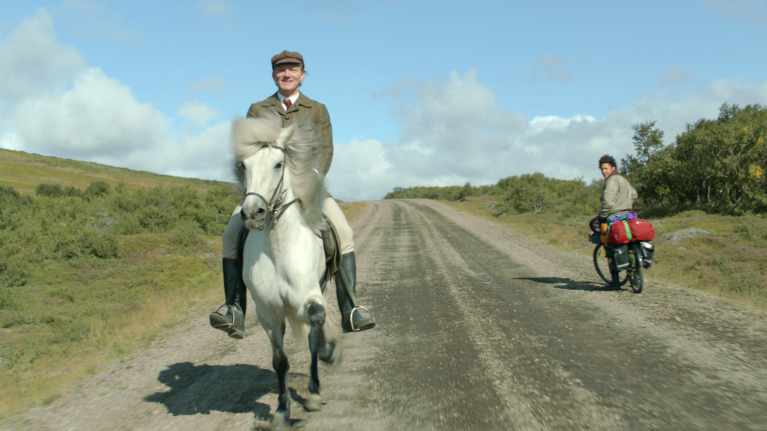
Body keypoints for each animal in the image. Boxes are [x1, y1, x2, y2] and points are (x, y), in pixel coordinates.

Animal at [231, 115, 339, 429]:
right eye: (243, 166)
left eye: (279, 164)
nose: (253, 213)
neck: (279, 248)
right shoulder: (268, 312)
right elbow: (280, 361)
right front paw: (281, 410)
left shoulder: (311, 295)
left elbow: (315, 329)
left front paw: (317, 384)